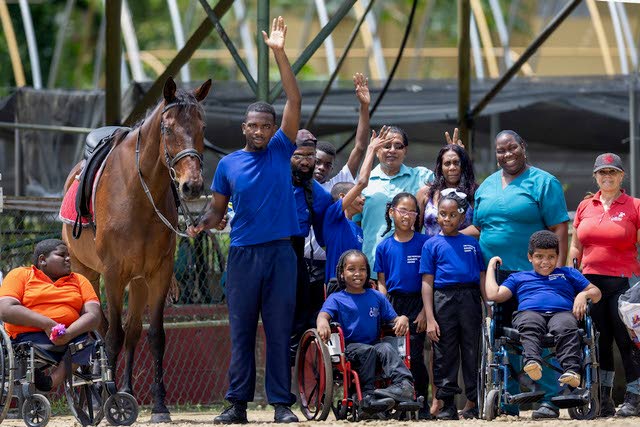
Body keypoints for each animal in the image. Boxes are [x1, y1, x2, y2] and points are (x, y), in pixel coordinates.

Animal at [60, 78, 211, 422]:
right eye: (168, 128)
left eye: (202, 127)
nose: (192, 186)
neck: (138, 192)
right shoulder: (113, 274)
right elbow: (111, 334)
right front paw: (109, 397)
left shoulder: (158, 273)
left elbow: (154, 336)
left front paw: (158, 406)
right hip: (86, 271)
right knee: (102, 328)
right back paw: (98, 389)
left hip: (138, 281)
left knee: (132, 332)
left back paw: (126, 390)